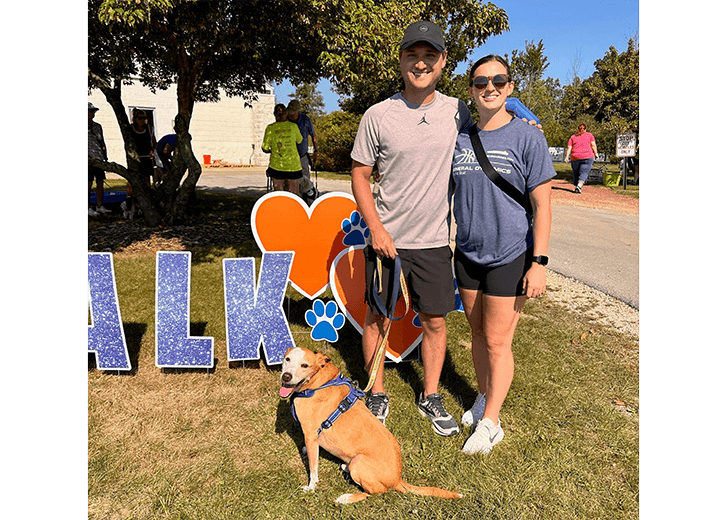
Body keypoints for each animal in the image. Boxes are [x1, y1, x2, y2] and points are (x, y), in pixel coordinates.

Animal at [278, 348, 460, 506]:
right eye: (287, 359)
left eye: (305, 365)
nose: (286, 377)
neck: (319, 382)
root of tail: (398, 479)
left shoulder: (310, 434)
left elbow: (313, 469)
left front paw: (311, 488)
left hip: (359, 462)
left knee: (376, 493)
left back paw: (347, 497)